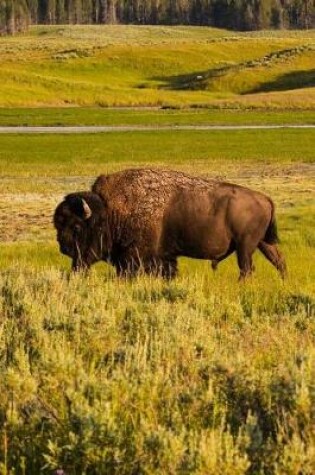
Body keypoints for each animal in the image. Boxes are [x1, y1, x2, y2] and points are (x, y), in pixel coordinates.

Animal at [53, 168, 286, 280]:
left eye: (76, 227)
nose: (63, 248)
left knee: (247, 268)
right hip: (262, 243)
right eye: (58, 225)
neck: (110, 212)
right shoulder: (164, 258)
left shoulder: (134, 259)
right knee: (278, 261)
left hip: (245, 246)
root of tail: (265, 198)